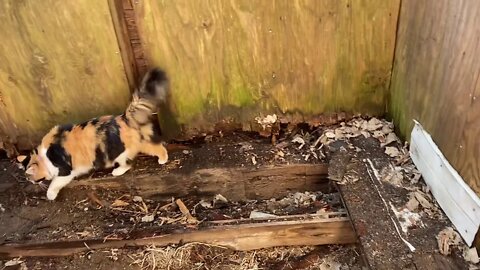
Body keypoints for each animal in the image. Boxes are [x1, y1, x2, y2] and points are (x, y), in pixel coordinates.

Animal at [16, 67, 170, 200]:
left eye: (31, 178)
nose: (32, 182)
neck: (44, 156)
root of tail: (124, 117)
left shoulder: (65, 171)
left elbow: (54, 183)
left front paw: (50, 195)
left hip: (119, 154)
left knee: (128, 164)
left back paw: (120, 170)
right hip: (139, 143)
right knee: (157, 148)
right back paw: (163, 159)